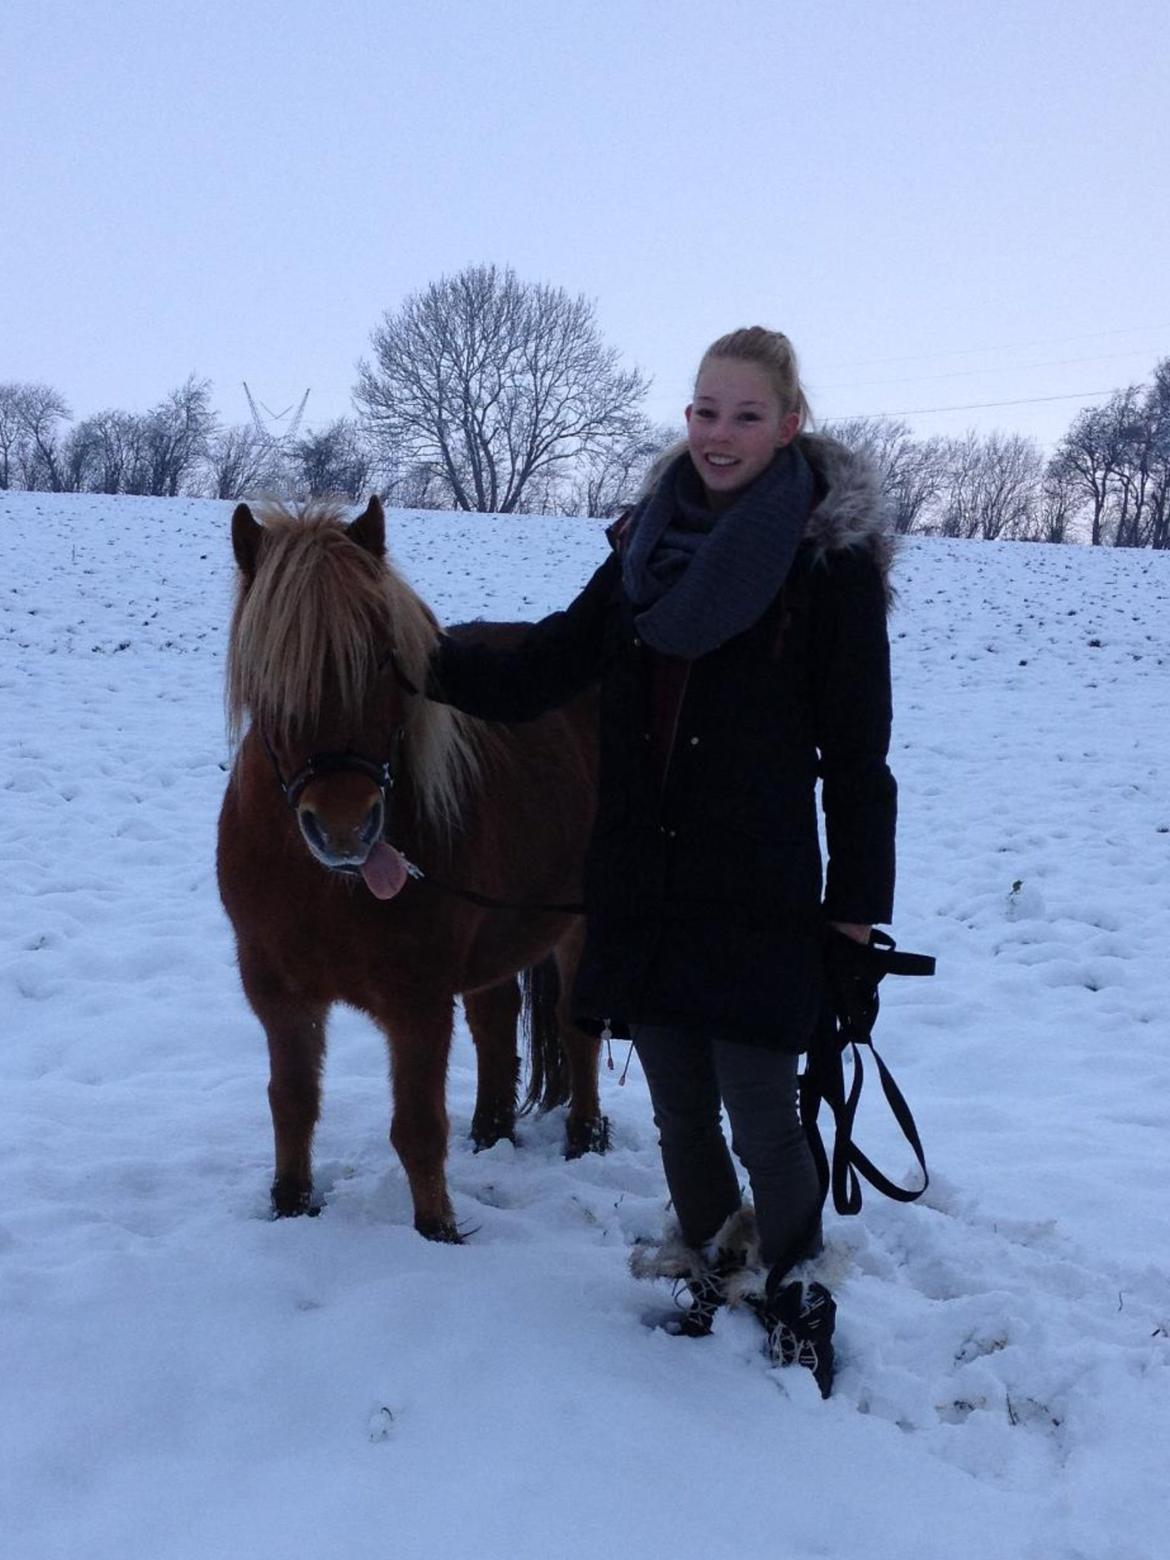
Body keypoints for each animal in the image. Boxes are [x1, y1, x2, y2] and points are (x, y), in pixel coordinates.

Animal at [215, 492, 608, 1235]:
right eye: (270, 668)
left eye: (382, 658)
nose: (345, 828)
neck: (325, 886)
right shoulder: (278, 995)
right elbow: (292, 1104)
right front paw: (291, 1207)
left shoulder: (416, 1003)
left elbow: (419, 1130)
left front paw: (439, 1235)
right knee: (495, 1021)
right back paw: (492, 1133)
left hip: (580, 924)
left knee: (577, 1027)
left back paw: (584, 1140)